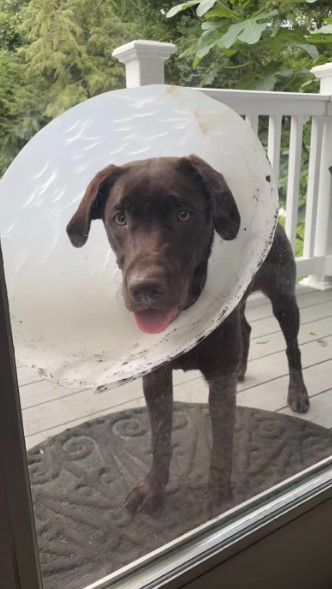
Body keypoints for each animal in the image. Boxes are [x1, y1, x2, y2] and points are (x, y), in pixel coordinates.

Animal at [66, 155, 310, 516]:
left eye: (183, 214)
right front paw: (154, 489)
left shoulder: (219, 380)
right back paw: (242, 368)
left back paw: (298, 392)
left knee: (293, 348)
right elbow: (161, 437)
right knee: (246, 328)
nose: (145, 288)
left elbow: (221, 448)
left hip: (284, 300)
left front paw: (220, 503)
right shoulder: (155, 378)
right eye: (120, 218)